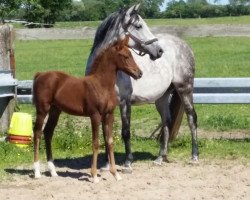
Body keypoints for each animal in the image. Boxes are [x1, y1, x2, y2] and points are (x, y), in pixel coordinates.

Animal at [32, 37, 143, 183]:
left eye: (131, 54)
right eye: (125, 56)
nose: (139, 73)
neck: (102, 85)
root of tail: (40, 75)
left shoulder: (109, 115)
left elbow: (110, 142)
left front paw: (115, 174)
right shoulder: (95, 115)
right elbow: (96, 143)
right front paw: (94, 175)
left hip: (55, 111)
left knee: (48, 132)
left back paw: (53, 171)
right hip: (42, 109)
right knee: (37, 133)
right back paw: (36, 172)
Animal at [86, 3, 199, 171]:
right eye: (138, 26)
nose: (159, 51)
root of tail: (184, 45)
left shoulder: (124, 102)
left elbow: (125, 131)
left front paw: (128, 163)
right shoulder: (104, 105)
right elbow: (106, 134)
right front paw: (106, 164)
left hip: (185, 88)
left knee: (191, 117)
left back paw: (194, 157)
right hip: (162, 97)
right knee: (166, 122)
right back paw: (160, 158)